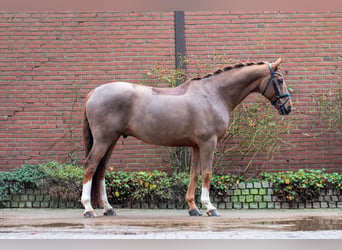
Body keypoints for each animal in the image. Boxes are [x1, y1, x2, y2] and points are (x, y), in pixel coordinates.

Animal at [80, 56, 292, 217]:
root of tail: (94, 92)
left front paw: (193, 208)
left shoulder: (196, 145)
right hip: (103, 139)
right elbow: (207, 173)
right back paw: (88, 208)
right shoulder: (208, 143)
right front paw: (210, 207)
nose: (288, 107)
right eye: (280, 80)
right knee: (90, 166)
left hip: (112, 140)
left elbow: (194, 173)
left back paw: (108, 208)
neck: (213, 94)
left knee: (101, 169)